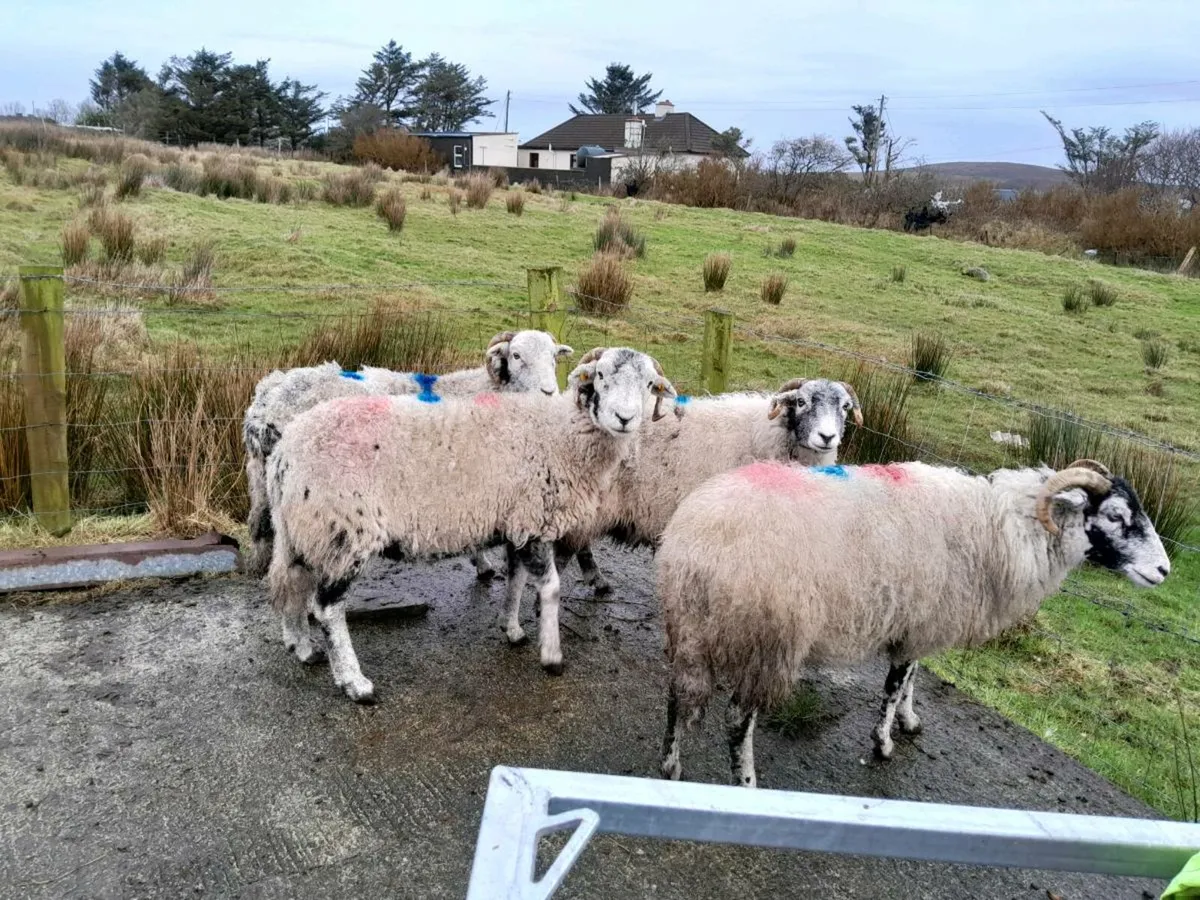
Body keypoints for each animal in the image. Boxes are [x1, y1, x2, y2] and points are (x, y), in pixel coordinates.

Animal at [242, 329, 573, 579]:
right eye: (516, 356)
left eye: (553, 357)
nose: (549, 392)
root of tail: (266, 399)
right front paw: (483, 564)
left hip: (262, 480)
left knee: (259, 528)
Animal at [265, 347, 676, 702]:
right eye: (601, 375)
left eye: (648, 384)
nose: (624, 418)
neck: (562, 436)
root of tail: (287, 450)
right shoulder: (536, 520)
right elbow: (551, 588)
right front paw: (552, 656)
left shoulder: (517, 523)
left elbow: (516, 580)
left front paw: (512, 628)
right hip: (345, 530)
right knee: (327, 608)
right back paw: (355, 682)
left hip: (303, 528)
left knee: (290, 583)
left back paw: (303, 647)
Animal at [502, 378, 862, 644]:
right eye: (801, 402)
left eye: (845, 407)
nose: (827, 437)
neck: (766, 437)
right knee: (564, 551)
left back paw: (597, 580)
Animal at [656, 458, 1170, 787]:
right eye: (1116, 515)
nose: (1165, 571)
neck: (1000, 528)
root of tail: (697, 543)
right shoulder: (918, 619)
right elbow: (892, 685)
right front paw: (883, 742)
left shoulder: (923, 620)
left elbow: (911, 679)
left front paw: (909, 719)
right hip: (767, 641)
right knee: (736, 723)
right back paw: (745, 781)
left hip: (690, 629)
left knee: (677, 696)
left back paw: (669, 765)